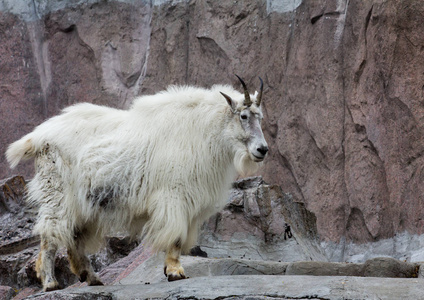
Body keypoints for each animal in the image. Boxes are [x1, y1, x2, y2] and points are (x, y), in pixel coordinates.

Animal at [5, 76, 268, 292]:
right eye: (244, 116)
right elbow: (176, 236)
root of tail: (38, 136)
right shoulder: (174, 196)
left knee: (74, 240)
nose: (262, 150)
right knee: (50, 235)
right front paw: (175, 272)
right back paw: (50, 282)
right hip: (56, 192)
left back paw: (92, 278)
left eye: (261, 117)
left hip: (84, 203)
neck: (204, 130)